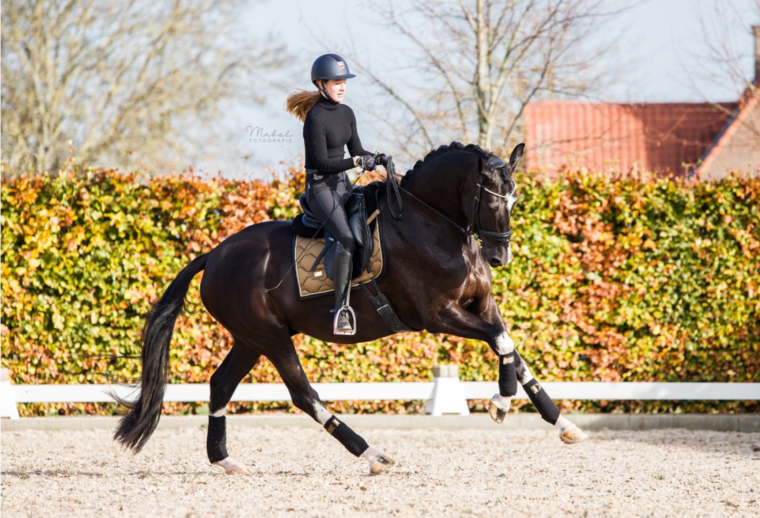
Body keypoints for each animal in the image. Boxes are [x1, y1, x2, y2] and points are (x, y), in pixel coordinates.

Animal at [113, 141, 588, 476]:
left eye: (515, 200)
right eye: (490, 201)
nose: (499, 257)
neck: (435, 222)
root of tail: (214, 255)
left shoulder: (482, 304)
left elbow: (511, 349)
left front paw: (561, 423)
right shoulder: (438, 315)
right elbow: (500, 341)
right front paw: (501, 402)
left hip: (250, 339)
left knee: (220, 384)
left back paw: (224, 460)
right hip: (270, 337)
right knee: (303, 394)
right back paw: (372, 454)